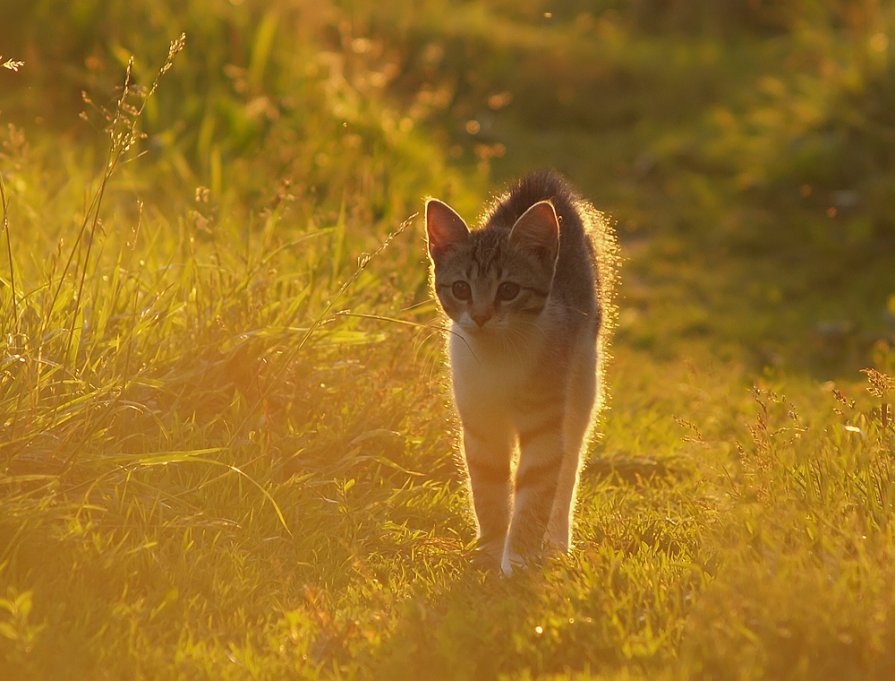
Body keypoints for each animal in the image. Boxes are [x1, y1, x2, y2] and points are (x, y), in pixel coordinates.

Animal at [424, 170, 612, 572]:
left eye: (508, 290)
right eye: (461, 288)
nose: (481, 317)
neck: (499, 356)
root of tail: (543, 182)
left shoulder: (544, 423)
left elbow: (537, 486)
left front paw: (519, 556)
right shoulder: (480, 423)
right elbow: (489, 485)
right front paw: (493, 547)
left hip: (582, 382)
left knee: (569, 467)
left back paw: (557, 540)